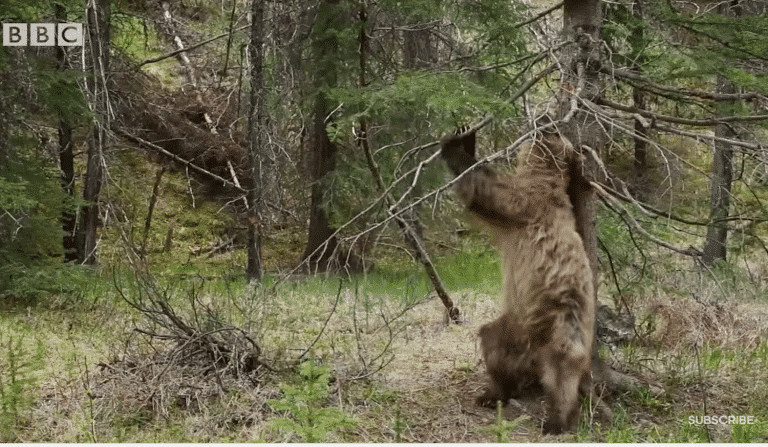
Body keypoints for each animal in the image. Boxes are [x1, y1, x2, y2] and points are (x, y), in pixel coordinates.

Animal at [438, 128, 592, 436]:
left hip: (552, 323)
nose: (548, 127)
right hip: (521, 325)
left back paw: (552, 419)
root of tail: (532, 356)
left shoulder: (520, 205)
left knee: (557, 372)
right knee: (493, 341)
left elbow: (481, 189)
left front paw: (457, 143)